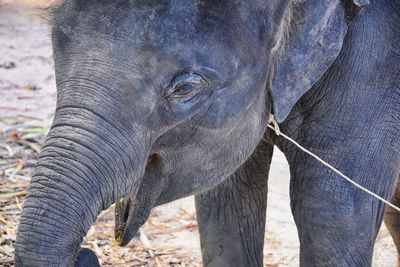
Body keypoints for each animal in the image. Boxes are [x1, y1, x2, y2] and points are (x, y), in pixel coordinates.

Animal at [14, 0, 398, 266]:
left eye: (185, 88)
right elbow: (226, 206)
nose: (87, 251)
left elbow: (328, 211)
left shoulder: (377, 65)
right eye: (56, 47)